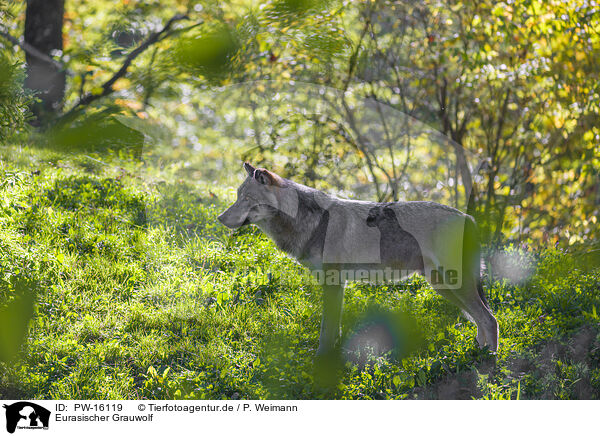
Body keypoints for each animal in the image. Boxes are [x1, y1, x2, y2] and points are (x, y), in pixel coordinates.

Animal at [218, 162, 500, 356]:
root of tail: (469, 218)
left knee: (490, 319)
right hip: (442, 286)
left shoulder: (333, 282)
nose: (220, 218)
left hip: (453, 284)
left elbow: (326, 328)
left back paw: (489, 359)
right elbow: (335, 327)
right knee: (482, 318)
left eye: (247, 199)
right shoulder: (338, 284)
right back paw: (476, 352)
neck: (309, 221)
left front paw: (320, 359)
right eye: (237, 196)